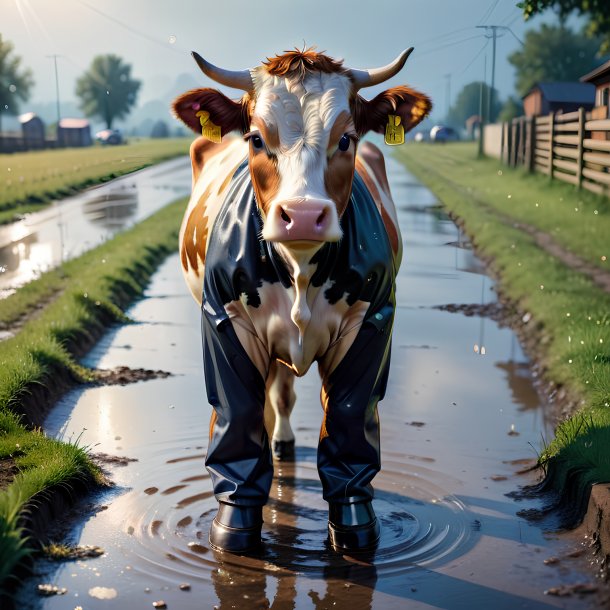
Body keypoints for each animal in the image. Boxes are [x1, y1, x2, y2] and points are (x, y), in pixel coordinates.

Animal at [171, 47, 428, 552]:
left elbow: (348, 419)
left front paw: (353, 527)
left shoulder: (370, 325)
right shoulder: (226, 323)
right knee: (273, 395)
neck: (300, 271)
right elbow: (240, 414)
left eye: (345, 139)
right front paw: (236, 528)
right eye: (255, 138)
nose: (304, 216)